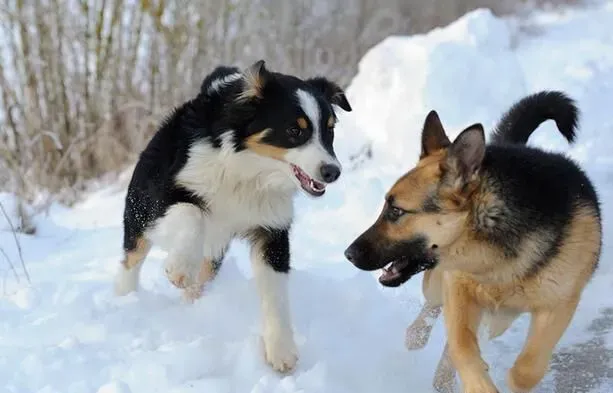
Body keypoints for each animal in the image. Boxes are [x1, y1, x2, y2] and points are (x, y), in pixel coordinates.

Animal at [113, 60, 352, 370]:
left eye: (329, 131)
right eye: (294, 130)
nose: (332, 172)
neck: (249, 170)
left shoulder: (272, 229)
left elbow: (275, 294)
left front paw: (281, 350)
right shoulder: (164, 196)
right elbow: (192, 214)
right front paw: (179, 267)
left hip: (214, 253)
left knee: (201, 276)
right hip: (139, 213)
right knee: (132, 258)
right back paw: (125, 299)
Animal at [344, 91, 604, 392]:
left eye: (396, 211)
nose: (348, 254)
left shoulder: (559, 305)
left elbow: (526, 369)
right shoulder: (458, 287)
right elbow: (461, 347)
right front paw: (477, 382)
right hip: (439, 288)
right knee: (431, 312)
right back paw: (419, 341)